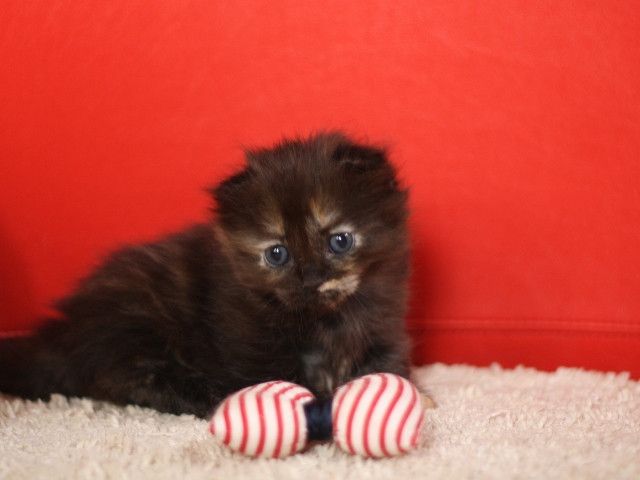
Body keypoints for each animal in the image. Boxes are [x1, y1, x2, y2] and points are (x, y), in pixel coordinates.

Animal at [0, 133, 410, 418]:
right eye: (277, 253)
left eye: (339, 241)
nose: (310, 278)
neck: (327, 320)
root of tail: (62, 332)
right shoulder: (249, 339)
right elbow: (277, 375)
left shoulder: (384, 328)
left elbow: (388, 366)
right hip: (135, 327)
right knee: (126, 378)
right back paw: (203, 397)